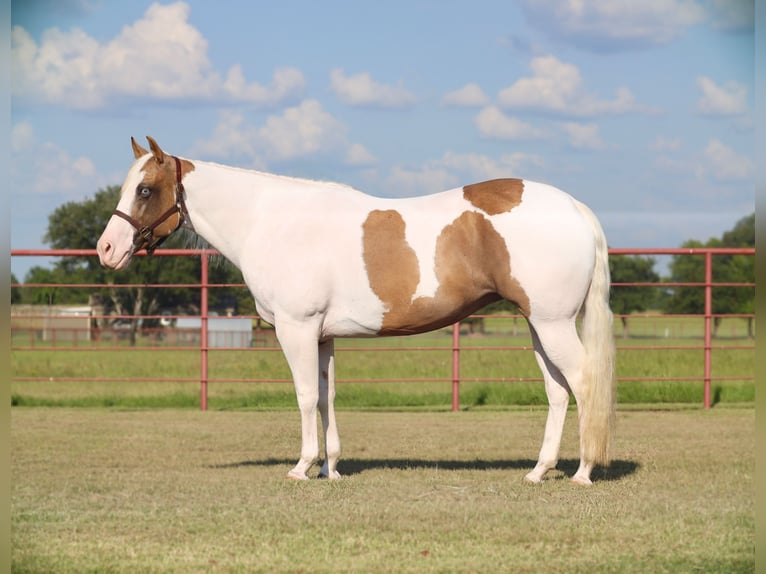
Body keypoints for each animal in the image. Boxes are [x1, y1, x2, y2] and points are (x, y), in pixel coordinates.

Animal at [97, 136, 615, 485]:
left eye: (145, 190)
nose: (106, 249)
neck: (272, 221)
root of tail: (574, 207)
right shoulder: (322, 336)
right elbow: (327, 397)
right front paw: (331, 468)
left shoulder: (296, 330)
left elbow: (306, 396)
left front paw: (302, 467)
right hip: (540, 327)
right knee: (557, 392)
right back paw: (538, 471)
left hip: (552, 325)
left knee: (584, 383)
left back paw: (583, 472)